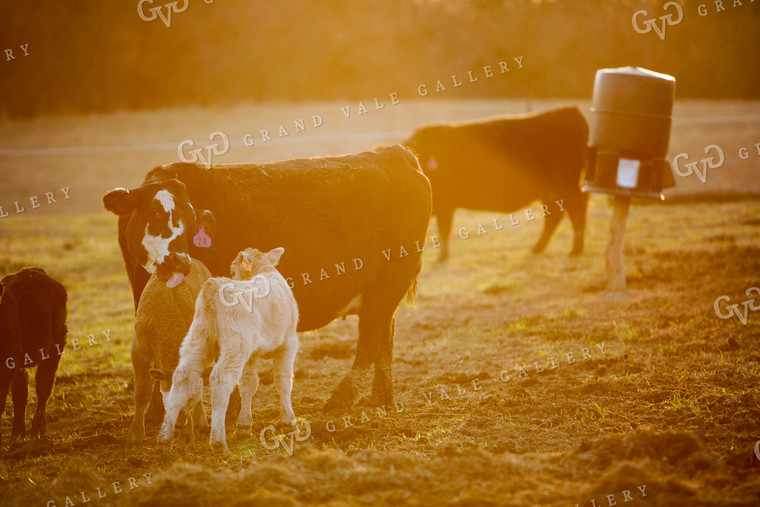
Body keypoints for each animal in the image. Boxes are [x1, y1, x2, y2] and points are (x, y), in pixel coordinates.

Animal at [103, 146, 430, 408]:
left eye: (191, 220)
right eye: (154, 213)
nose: (179, 262)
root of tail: (394, 154)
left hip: (389, 284)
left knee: (371, 338)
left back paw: (342, 399)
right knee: (384, 335)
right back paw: (381, 399)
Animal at [156, 248, 298, 450]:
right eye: (232, 271)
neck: (265, 270)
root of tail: (213, 285)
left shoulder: (252, 354)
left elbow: (248, 384)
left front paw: (244, 426)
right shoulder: (289, 342)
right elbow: (283, 381)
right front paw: (289, 423)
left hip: (198, 337)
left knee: (183, 375)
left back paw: (164, 437)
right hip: (235, 346)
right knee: (220, 378)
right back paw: (218, 441)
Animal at [404, 105, 588, 262]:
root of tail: (569, 110)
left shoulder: (445, 207)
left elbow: (444, 231)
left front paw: (442, 258)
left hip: (566, 188)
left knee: (576, 212)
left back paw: (574, 251)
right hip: (551, 193)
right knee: (556, 217)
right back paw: (538, 249)